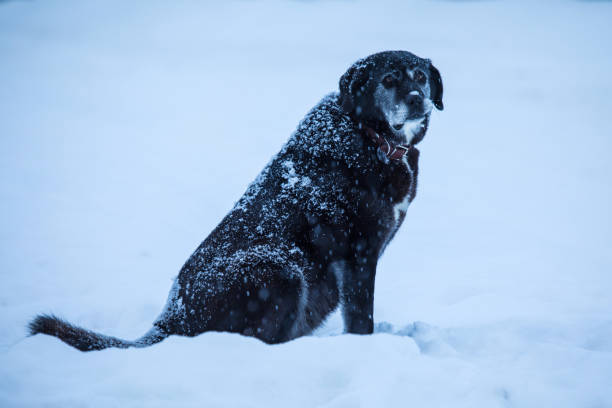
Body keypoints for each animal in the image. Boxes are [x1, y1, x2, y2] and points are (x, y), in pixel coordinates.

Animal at [28, 51, 442, 350]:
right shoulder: (358, 255)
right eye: (389, 80)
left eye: (420, 77)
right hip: (279, 268)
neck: (370, 136)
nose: (416, 99)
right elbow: (361, 319)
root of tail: (172, 319)